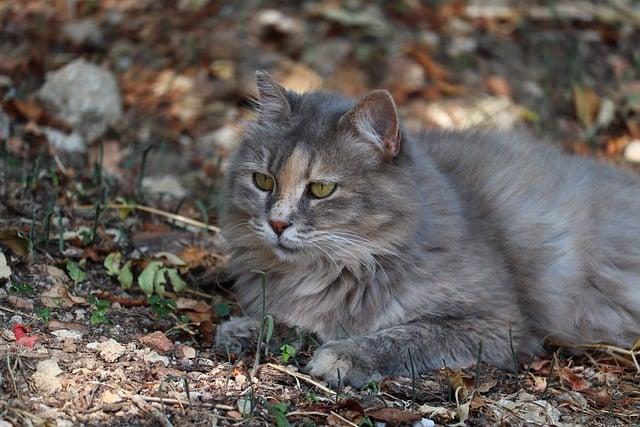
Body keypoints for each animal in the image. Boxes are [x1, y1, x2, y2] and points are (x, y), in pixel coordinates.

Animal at [215, 72, 640, 390]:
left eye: (321, 189)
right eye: (263, 181)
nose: (277, 224)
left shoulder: (497, 323)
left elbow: (404, 335)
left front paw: (343, 356)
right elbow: (288, 320)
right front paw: (243, 330)